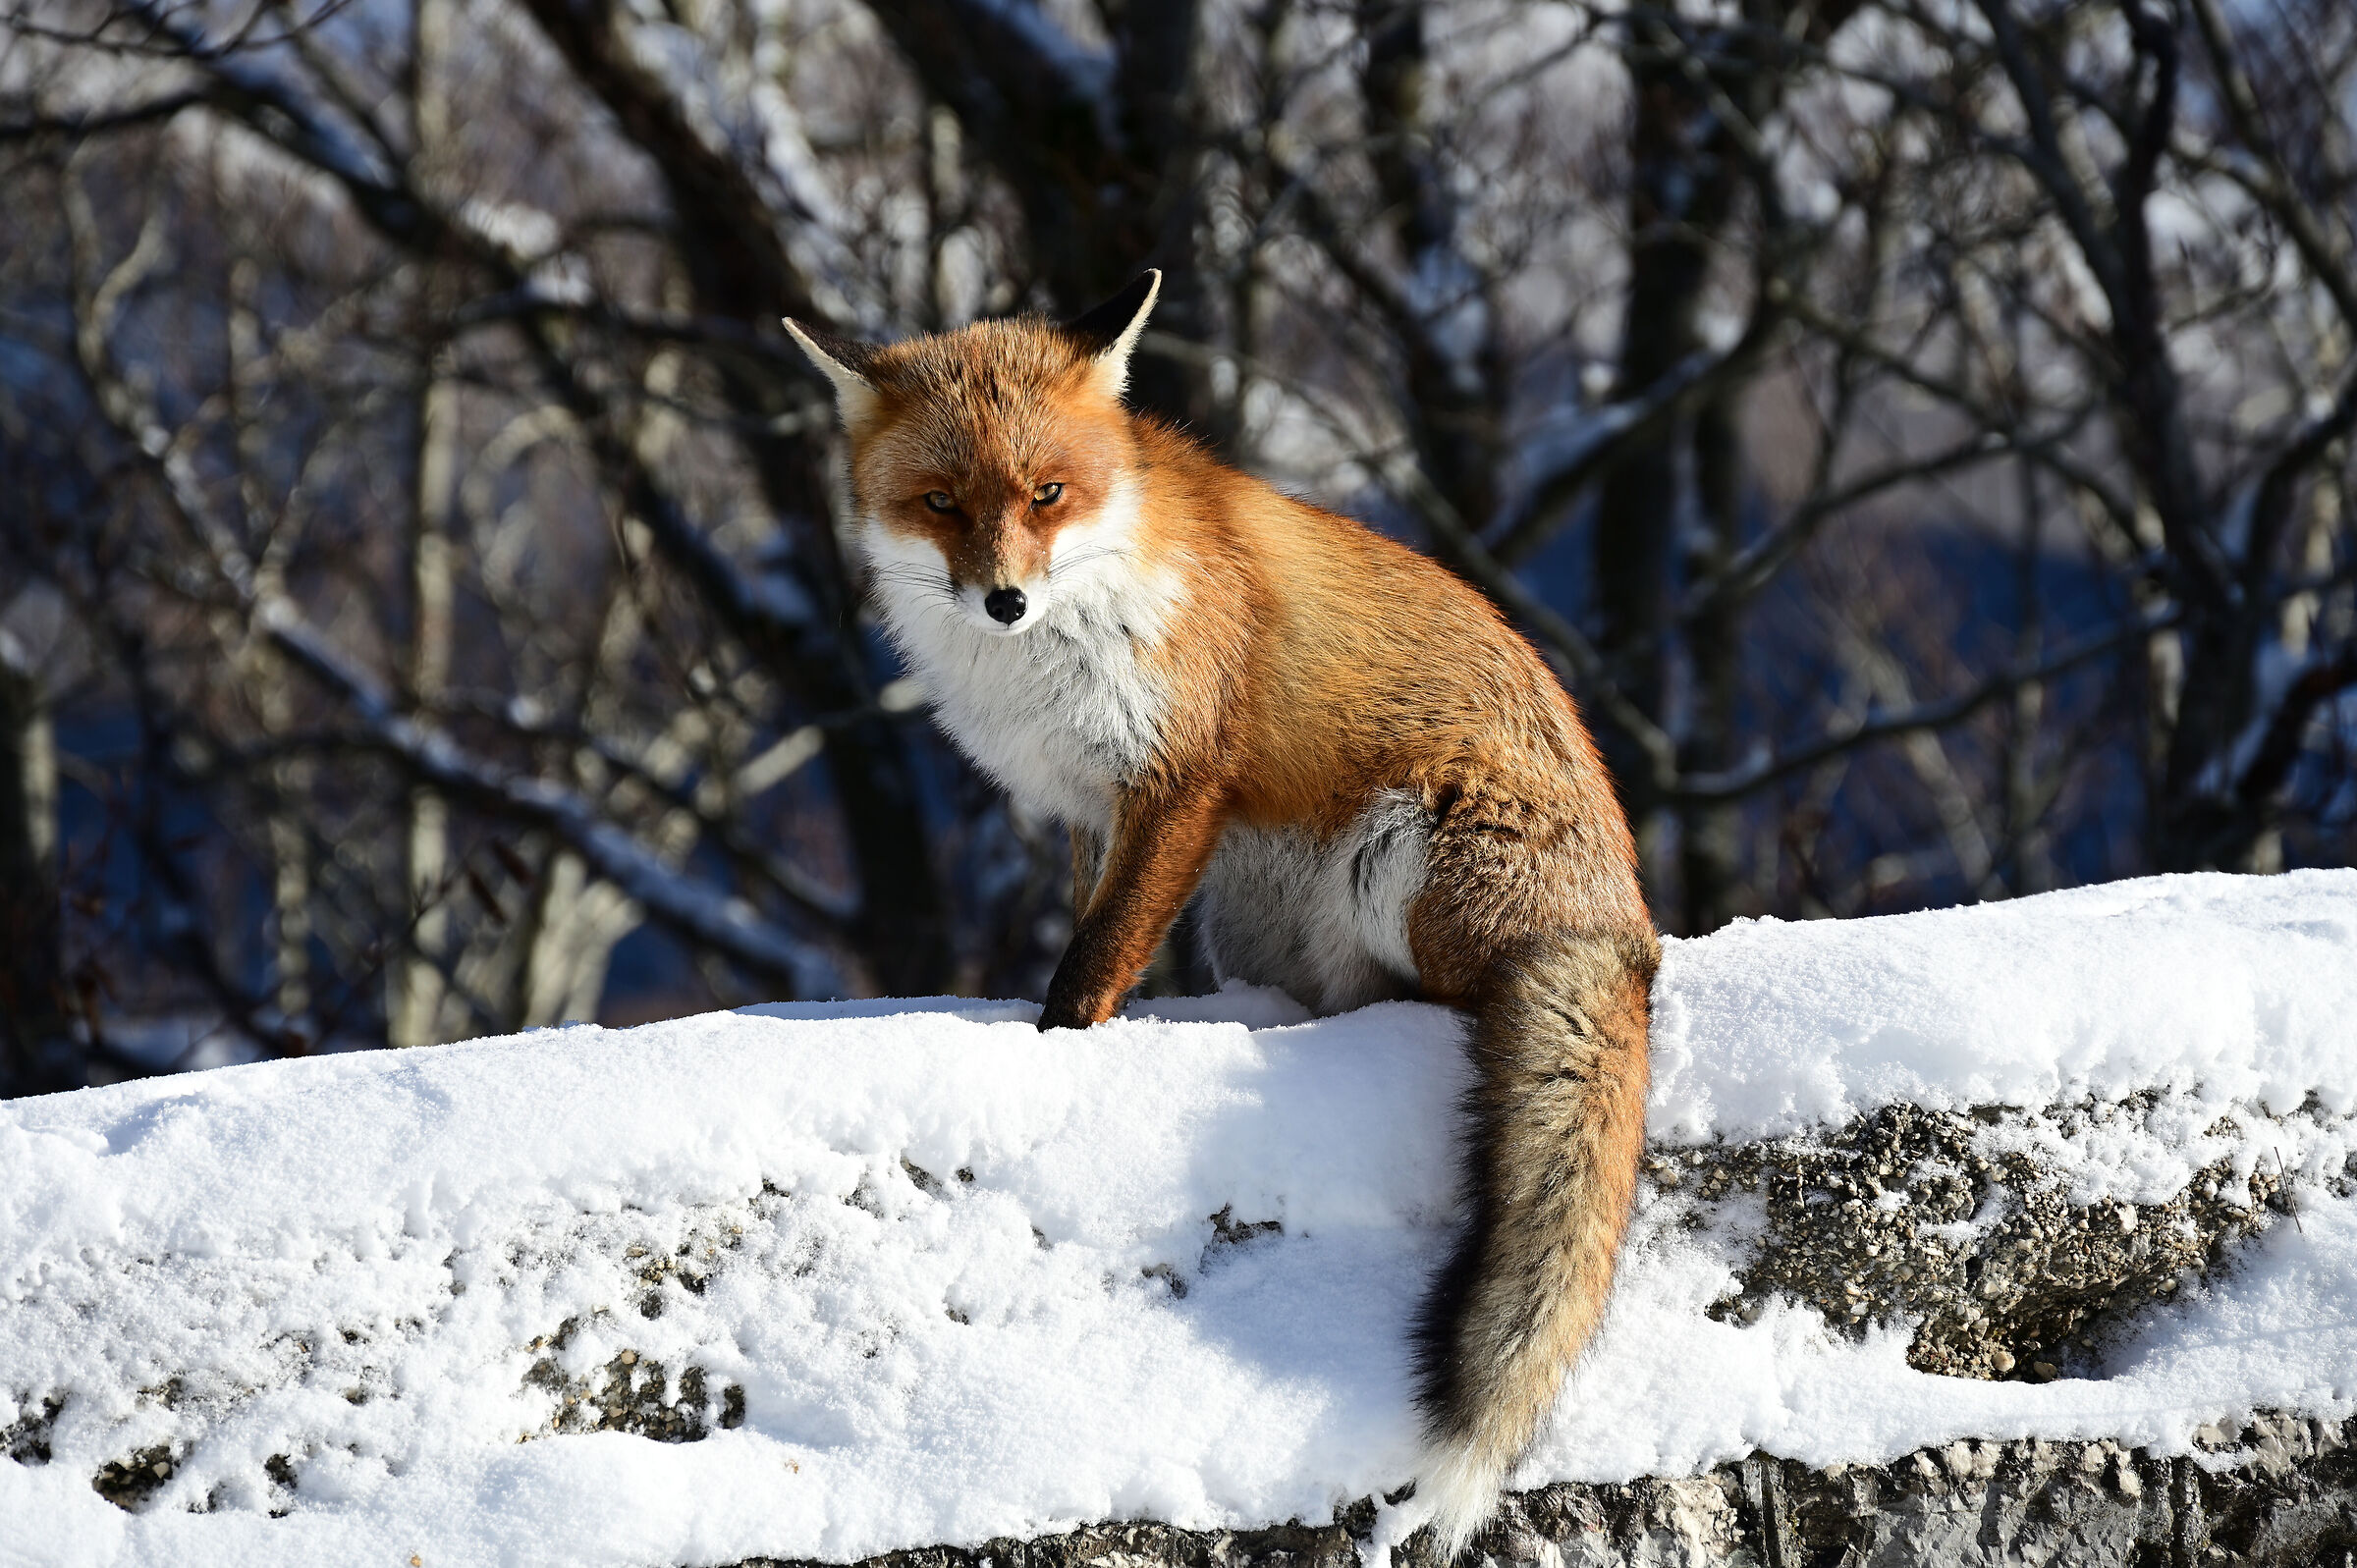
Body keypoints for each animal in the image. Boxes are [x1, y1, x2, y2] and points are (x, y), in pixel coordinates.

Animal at [786, 272, 1658, 1557]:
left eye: (1047, 494)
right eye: (940, 502)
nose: (1004, 599)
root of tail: (1625, 933)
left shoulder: (1177, 780)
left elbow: (1091, 967)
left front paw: (1054, 1053)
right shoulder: (1095, 810)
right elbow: (1097, 943)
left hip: (1399, 853)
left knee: (1439, 1002)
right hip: (1260, 913)